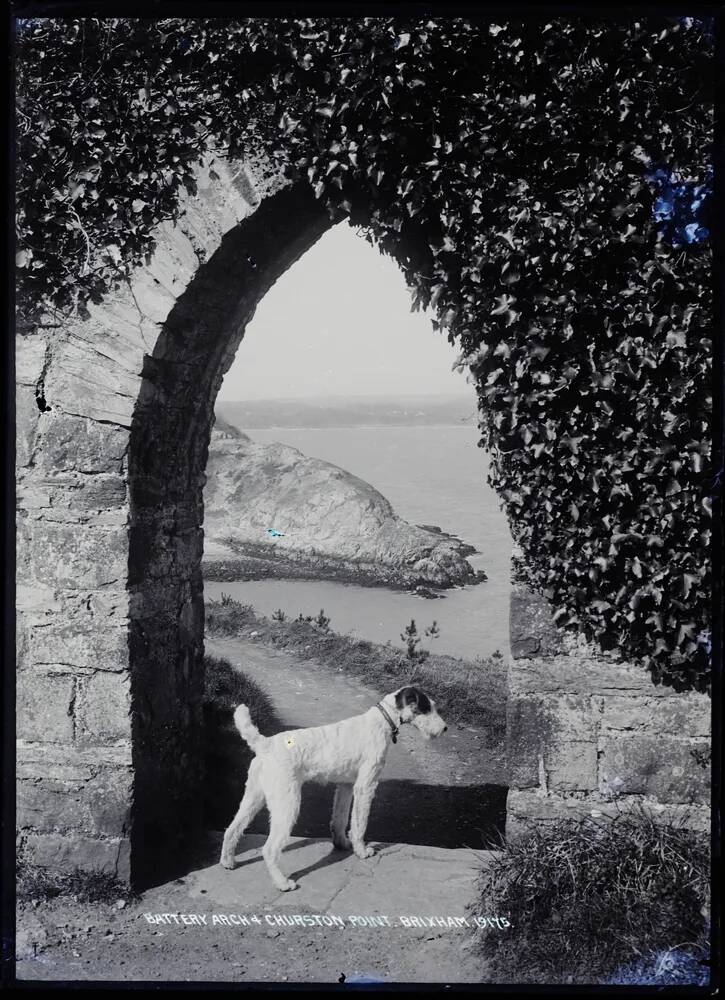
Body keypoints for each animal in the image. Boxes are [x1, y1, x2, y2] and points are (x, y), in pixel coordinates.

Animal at [219, 688, 446, 892]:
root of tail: (265, 745)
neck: (382, 720)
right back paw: (283, 883)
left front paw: (342, 843)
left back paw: (228, 862)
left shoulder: (346, 786)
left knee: (232, 829)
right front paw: (362, 851)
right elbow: (359, 823)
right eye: (427, 708)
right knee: (269, 848)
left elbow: (341, 818)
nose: (444, 728)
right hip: (287, 804)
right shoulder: (366, 785)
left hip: (253, 798)